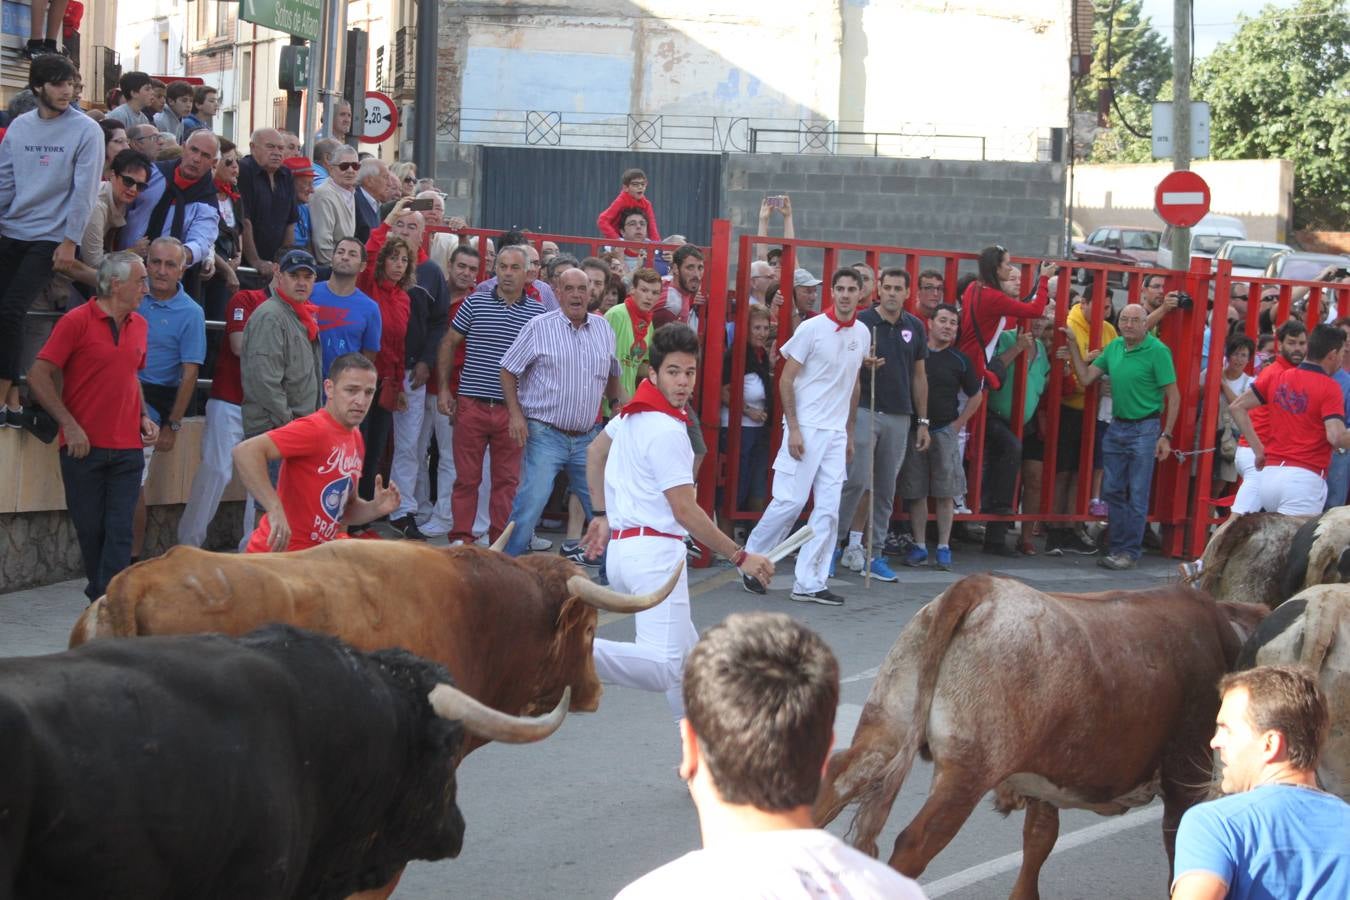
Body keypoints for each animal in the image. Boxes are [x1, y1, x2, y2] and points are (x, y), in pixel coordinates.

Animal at [810, 577, 1263, 900]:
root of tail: (981, 586)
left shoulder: (1045, 777)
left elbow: (1038, 842)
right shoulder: (1186, 774)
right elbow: (1178, 847)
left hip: (886, 728)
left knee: (832, 788)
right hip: (967, 772)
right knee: (915, 841)